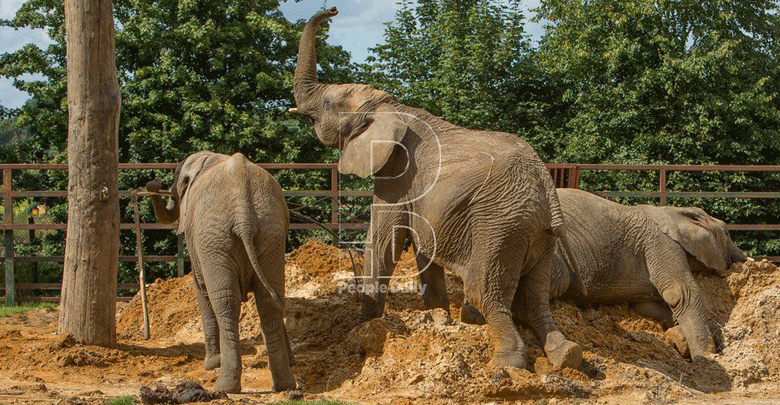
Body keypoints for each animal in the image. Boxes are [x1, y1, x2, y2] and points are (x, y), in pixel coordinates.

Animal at [146, 151, 296, 392]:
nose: (153, 184)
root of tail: (244, 214)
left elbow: (201, 289)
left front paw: (210, 364)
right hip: (271, 232)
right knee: (269, 300)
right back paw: (285, 385)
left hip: (214, 239)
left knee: (225, 301)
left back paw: (225, 385)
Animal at [460, 189, 748, 360]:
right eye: (727, 232)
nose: (742, 258)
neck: (671, 211)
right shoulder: (660, 243)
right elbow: (680, 292)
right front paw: (706, 357)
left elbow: (648, 305)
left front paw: (680, 339)